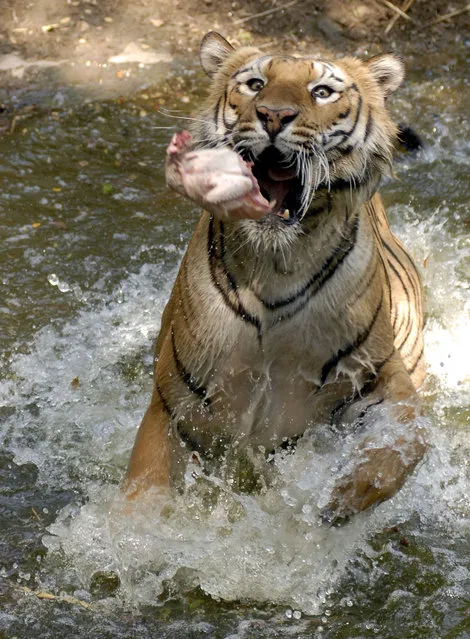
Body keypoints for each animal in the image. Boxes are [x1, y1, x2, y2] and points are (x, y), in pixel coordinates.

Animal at [123, 31, 428, 524]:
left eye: (321, 92)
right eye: (255, 84)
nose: (273, 115)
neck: (275, 266)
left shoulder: (377, 375)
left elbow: (407, 440)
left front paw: (344, 498)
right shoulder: (175, 401)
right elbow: (144, 486)